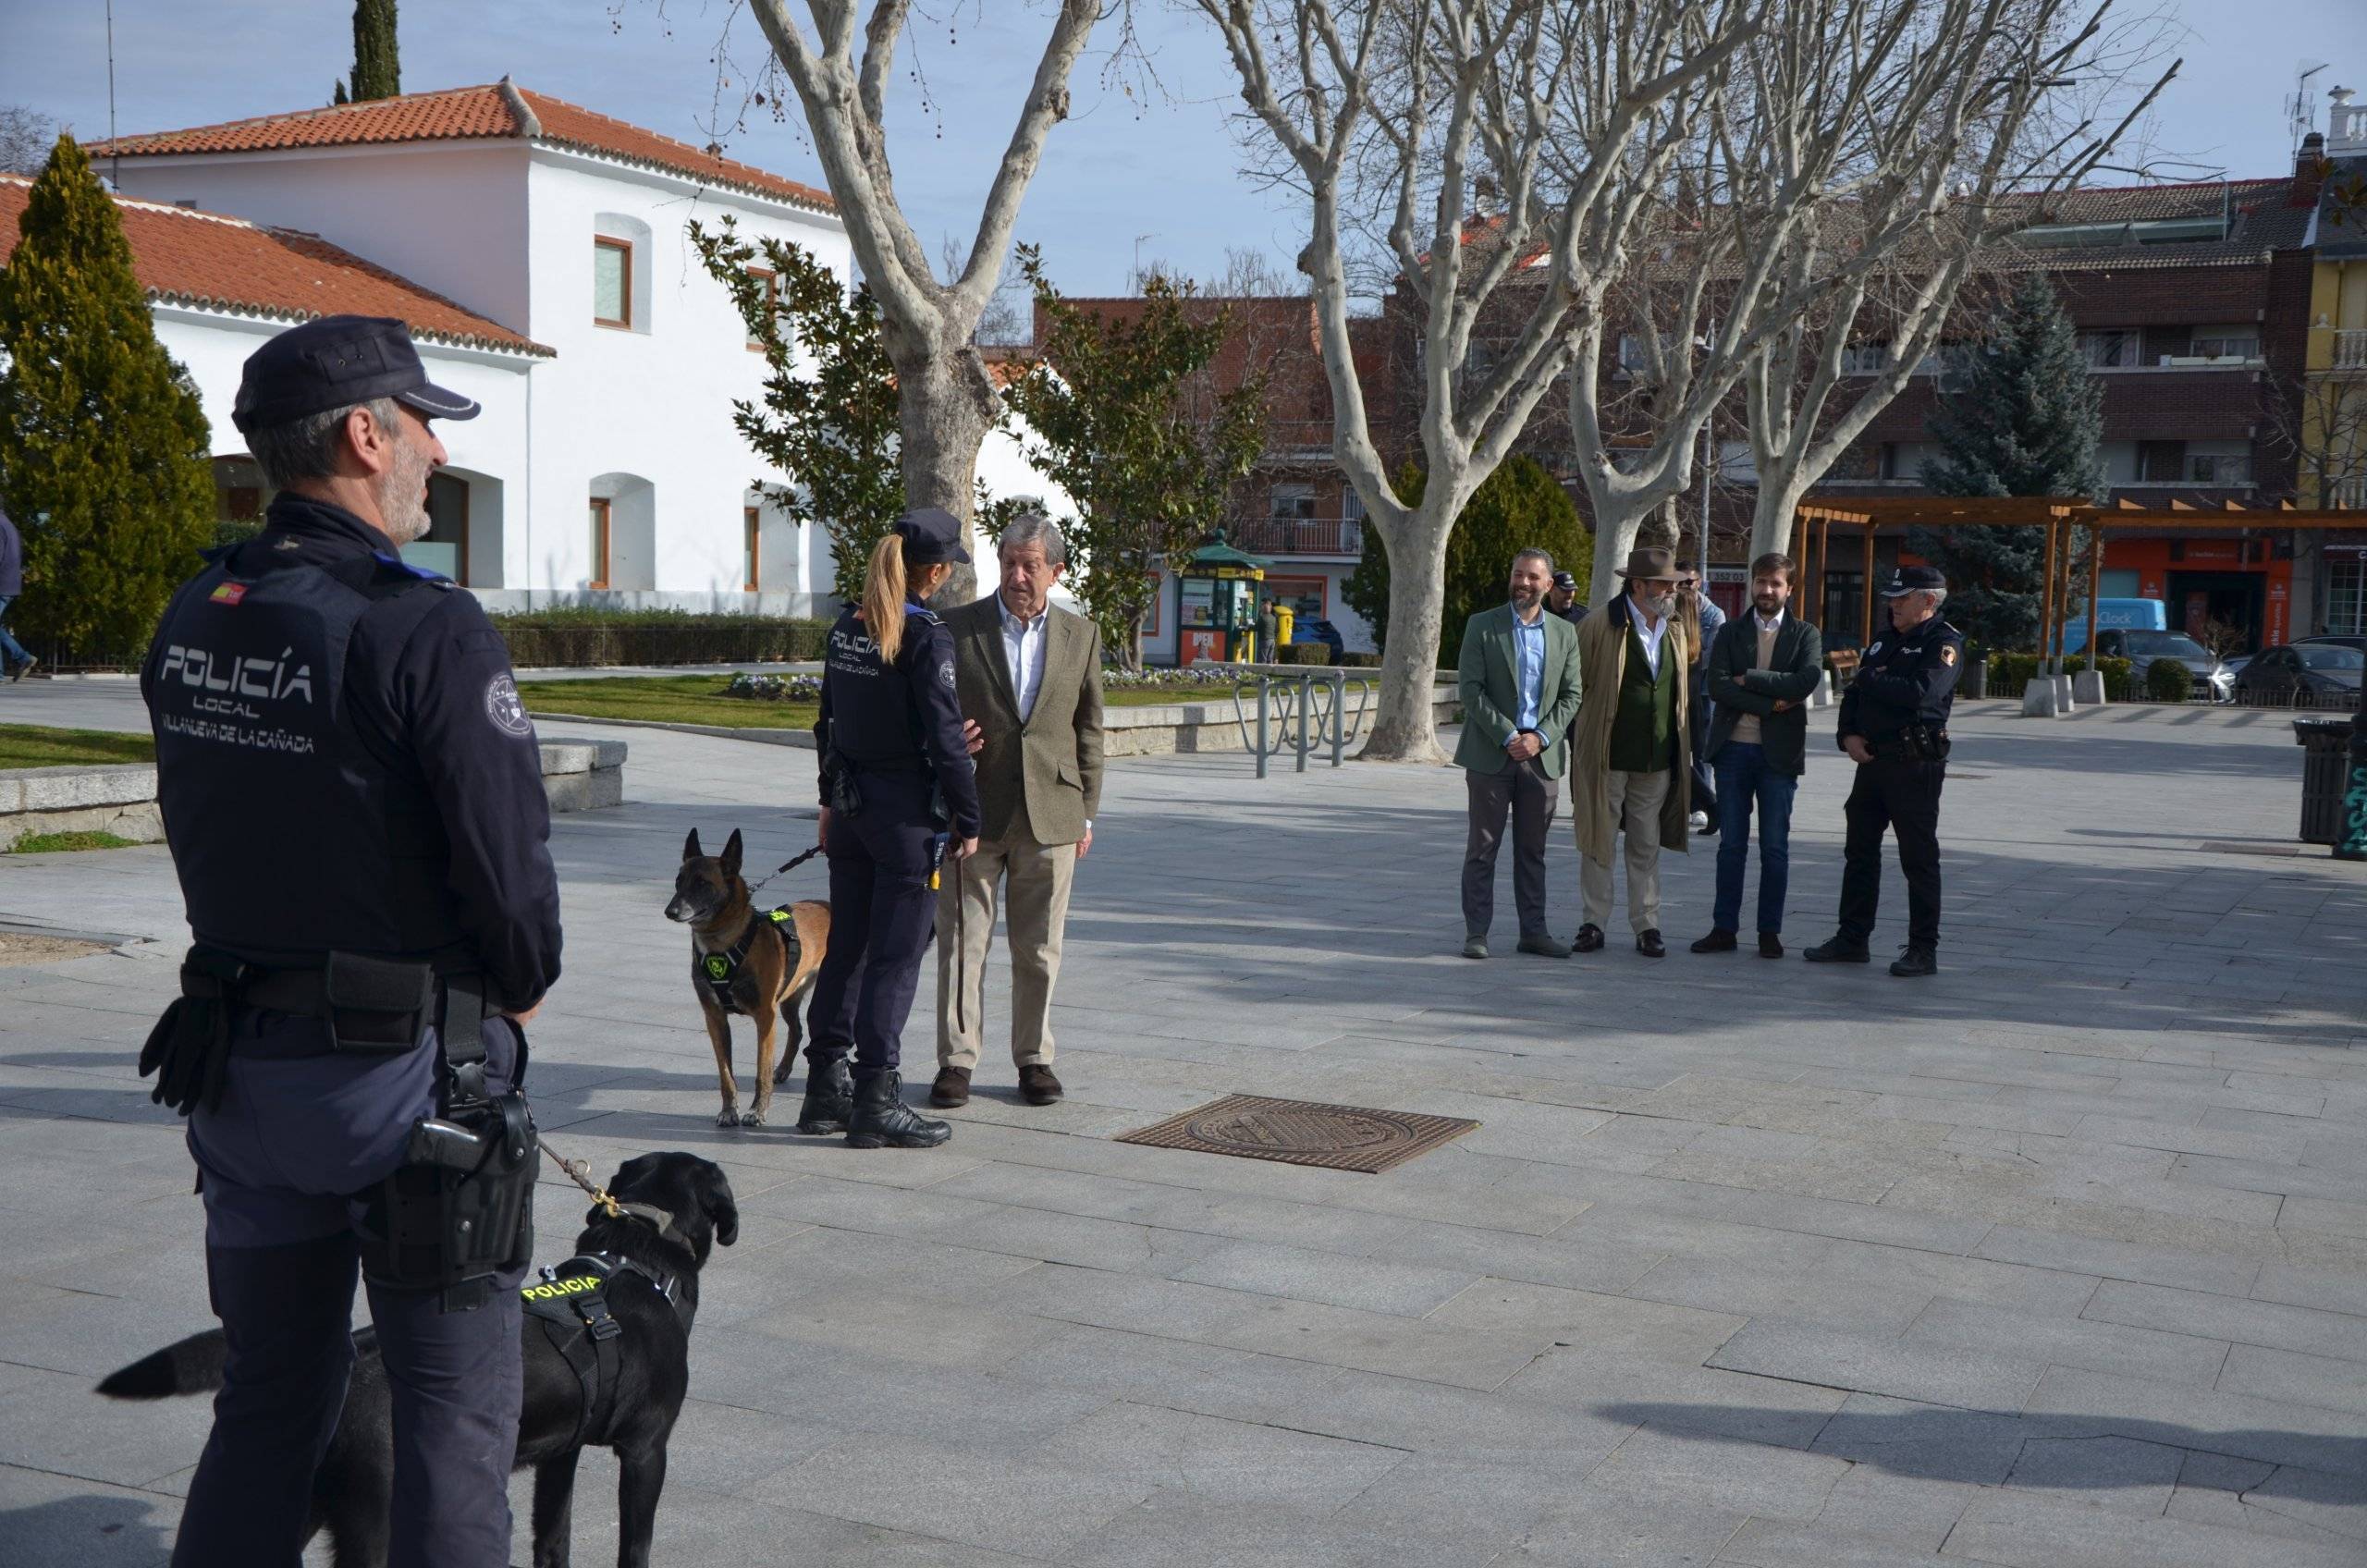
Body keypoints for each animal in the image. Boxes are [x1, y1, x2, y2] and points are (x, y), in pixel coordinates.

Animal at [96, 1156, 733, 1568]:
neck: (638, 1254)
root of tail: (351, 1362)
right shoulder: (647, 1452)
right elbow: (635, 1548)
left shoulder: (561, 1455)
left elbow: (554, 1541)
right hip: (375, 1514)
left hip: (303, 1496)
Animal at [667, 833, 833, 1132]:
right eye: (679, 880)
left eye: (702, 883)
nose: (670, 911)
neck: (723, 943)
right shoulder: (715, 1018)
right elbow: (726, 1075)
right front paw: (728, 1111)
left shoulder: (765, 1018)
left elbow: (760, 1072)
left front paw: (757, 1111)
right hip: (789, 999)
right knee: (797, 1030)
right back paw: (784, 1069)